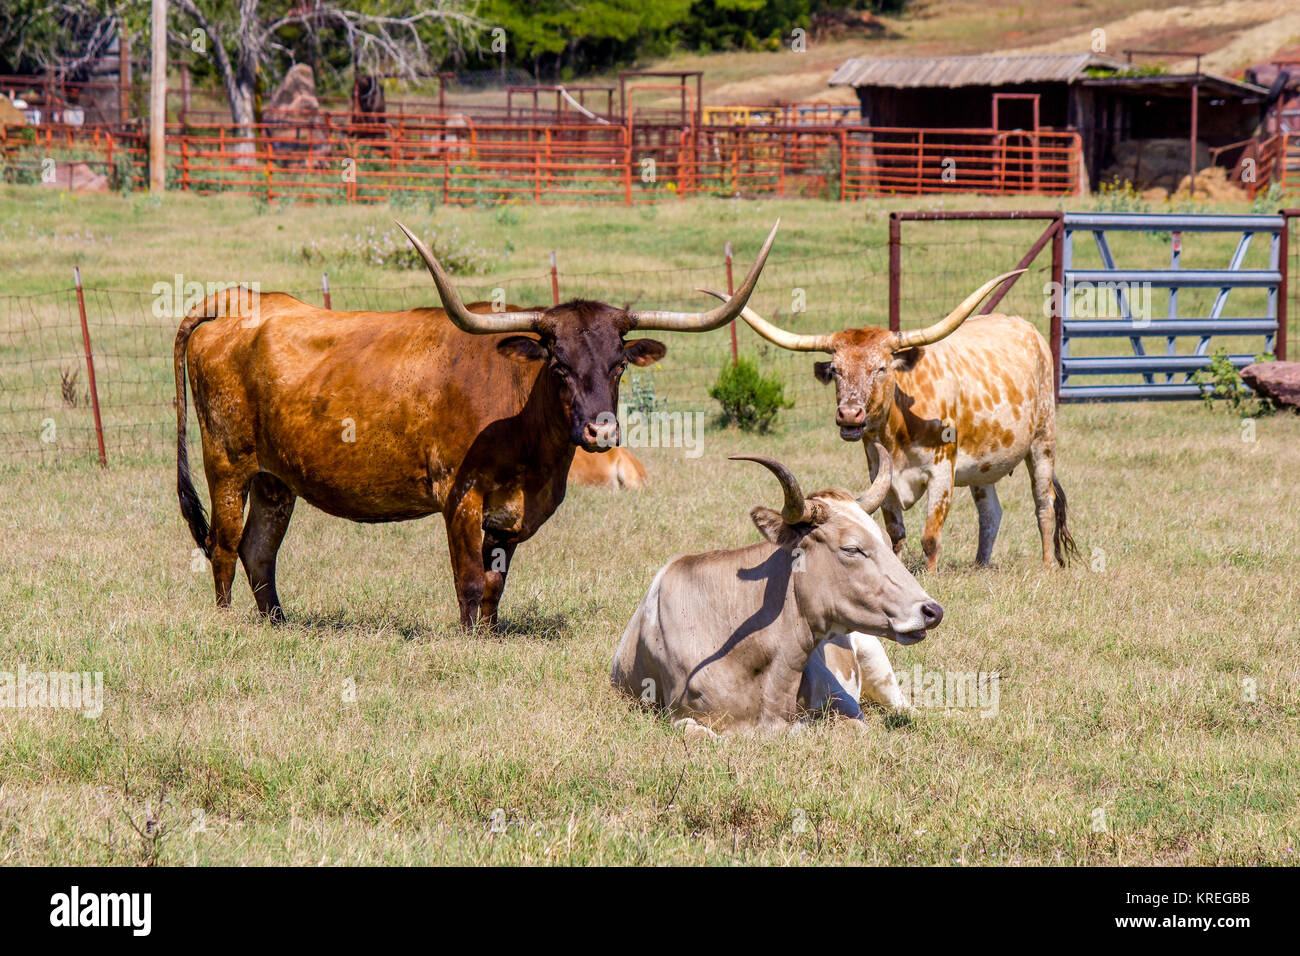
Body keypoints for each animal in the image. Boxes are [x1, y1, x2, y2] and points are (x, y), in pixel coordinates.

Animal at [174, 220, 779, 629]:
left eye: (619, 365)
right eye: (558, 365)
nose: (601, 433)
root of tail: (239, 300)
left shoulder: (508, 517)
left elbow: (494, 586)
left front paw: (489, 634)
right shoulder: (460, 496)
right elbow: (468, 582)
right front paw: (470, 641)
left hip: (276, 479)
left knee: (259, 550)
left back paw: (278, 623)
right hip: (227, 463)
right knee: (224, 546)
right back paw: (227, 622)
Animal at [701, 273, 1078, 572]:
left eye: (881, 367)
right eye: (835, 369)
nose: (849, 414)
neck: (898, 427)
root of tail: (1027, 327)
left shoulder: (942, 470)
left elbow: (930, 536)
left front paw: (931, 576)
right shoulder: (880, 473)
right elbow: (895, 533)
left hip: (1043, 442)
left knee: (1043, 504)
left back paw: (1047, 565)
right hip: (982, 465)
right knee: (990, 513)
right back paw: (980, 566)